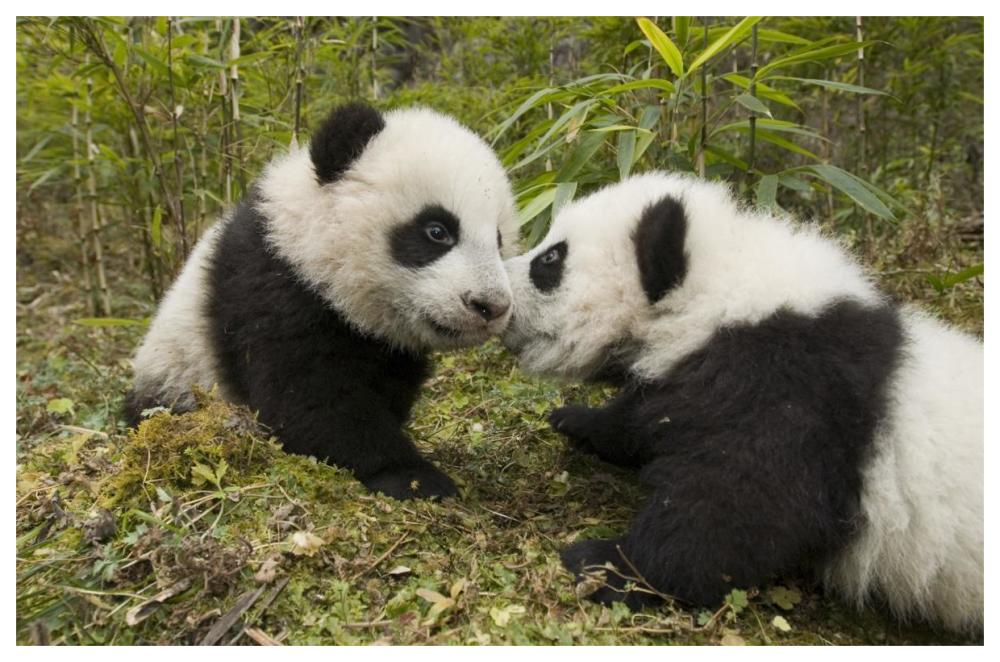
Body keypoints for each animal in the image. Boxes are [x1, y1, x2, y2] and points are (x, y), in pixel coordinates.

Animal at [125, 103, 519, 500]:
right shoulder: (272, 290)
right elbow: (311, 402)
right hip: (176, 378)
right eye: (437, 231)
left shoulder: (386, 347)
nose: (491, 306)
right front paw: (413, 476)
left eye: (498, 239)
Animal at [502, 172, 983, 633]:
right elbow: (649, 412)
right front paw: (580, 421)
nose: (497, 301)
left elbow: (743, 504)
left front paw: (606, 564)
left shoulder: (794, 389)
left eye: (551, 260)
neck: (723, 298)